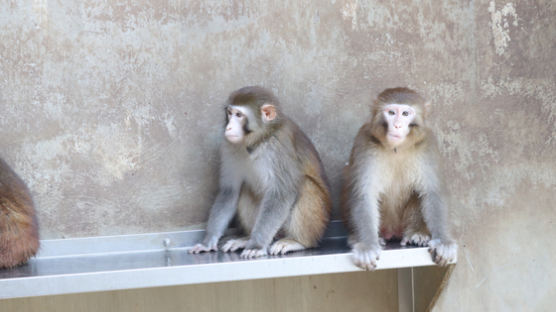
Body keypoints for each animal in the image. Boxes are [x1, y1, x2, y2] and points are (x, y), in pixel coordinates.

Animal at [189, 85, 332, 258]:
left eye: (239, 115)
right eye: (230, 113)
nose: (228, 127)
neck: (260, 140)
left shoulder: (279, 148)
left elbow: (281, 193)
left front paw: (256, 245)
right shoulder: (230, 146)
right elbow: (229, 191)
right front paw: (208, 241)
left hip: (318, 223)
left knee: (305, 184)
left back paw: (297, 241)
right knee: (245, 188)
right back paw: (246, 239)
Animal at [344, 86, 456, 270]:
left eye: (405, 114)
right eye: (391, 112)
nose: (397, 125)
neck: (397, 148)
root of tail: (392, 231)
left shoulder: (428, 143)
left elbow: (432, 192)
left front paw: (442, 242)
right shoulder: (364, 141)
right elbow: (364, 193)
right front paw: (368, 245)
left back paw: (416, 233)